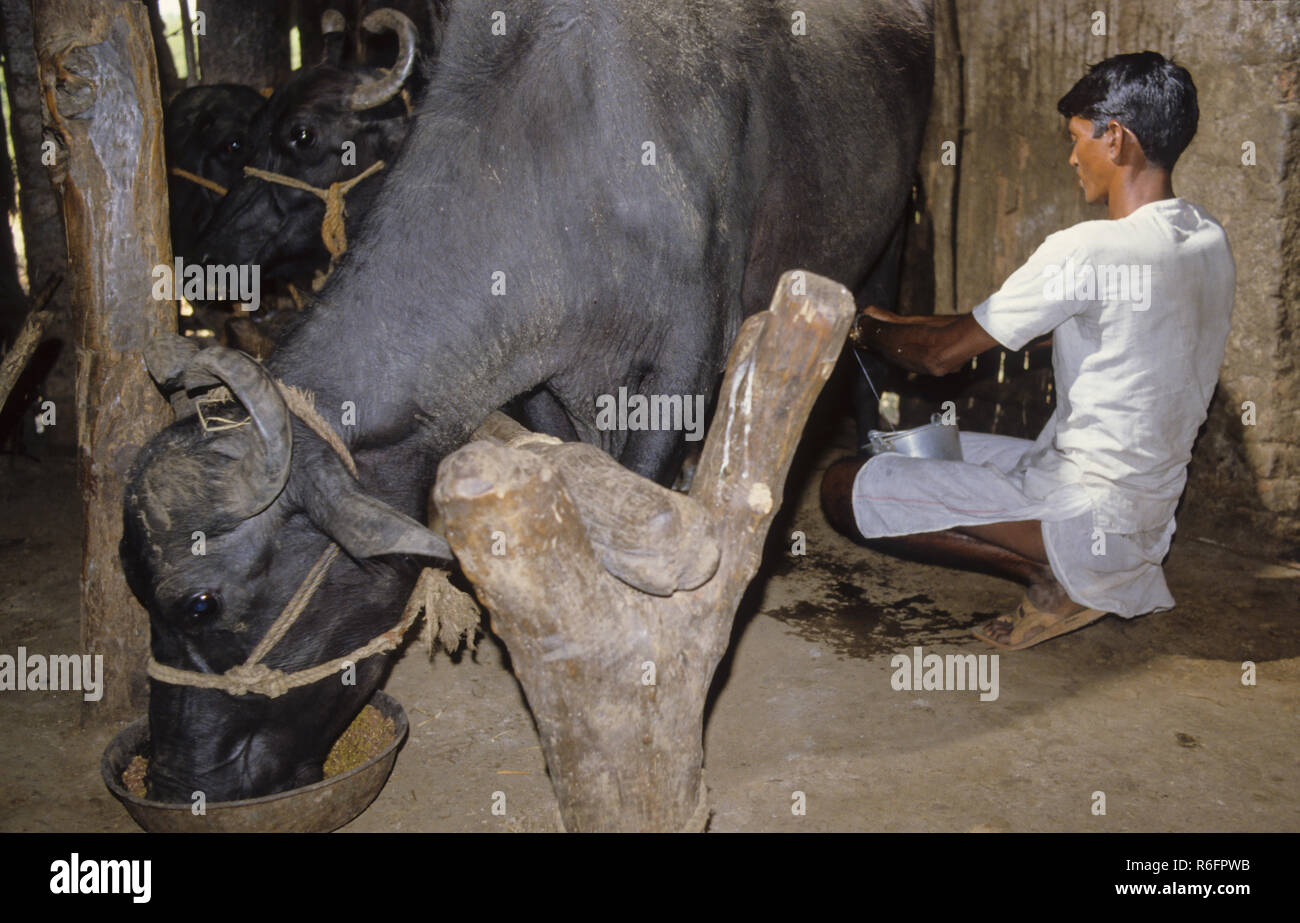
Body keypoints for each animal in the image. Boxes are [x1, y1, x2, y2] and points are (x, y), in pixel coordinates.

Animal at [122, 0, 935, 806]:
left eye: (198, 603)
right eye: (247, 137)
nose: (177, 780)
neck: (561, 170)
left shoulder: (685, 361)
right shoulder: (541, 383)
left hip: (887, 243)